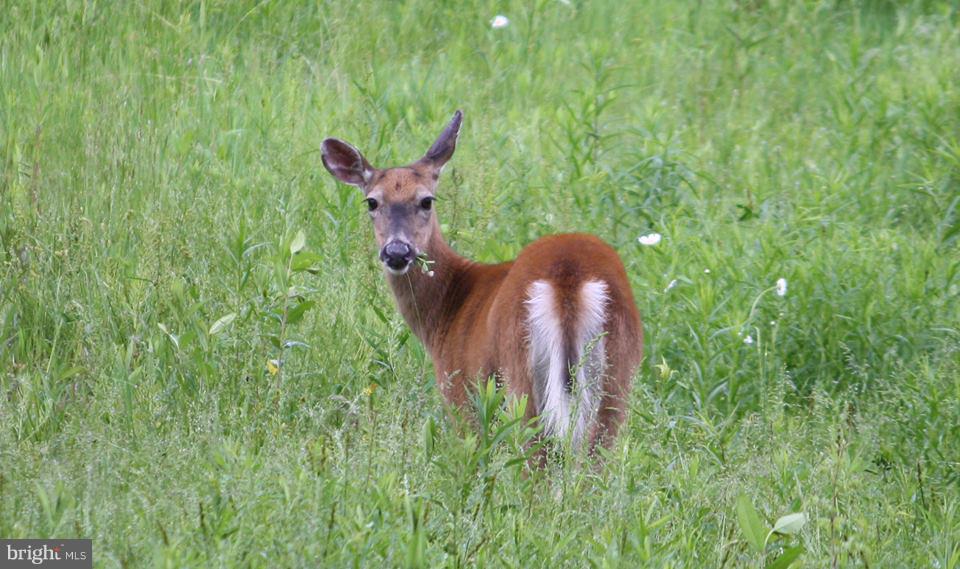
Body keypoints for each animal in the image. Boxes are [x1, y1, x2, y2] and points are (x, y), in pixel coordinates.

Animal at [321, 110, 643, 454]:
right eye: (371, 202)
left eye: (426, 200)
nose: (397, 251)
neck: (447, 310)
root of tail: (568, 278)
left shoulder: (460, 389)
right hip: (617, 373)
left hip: (520, 372)